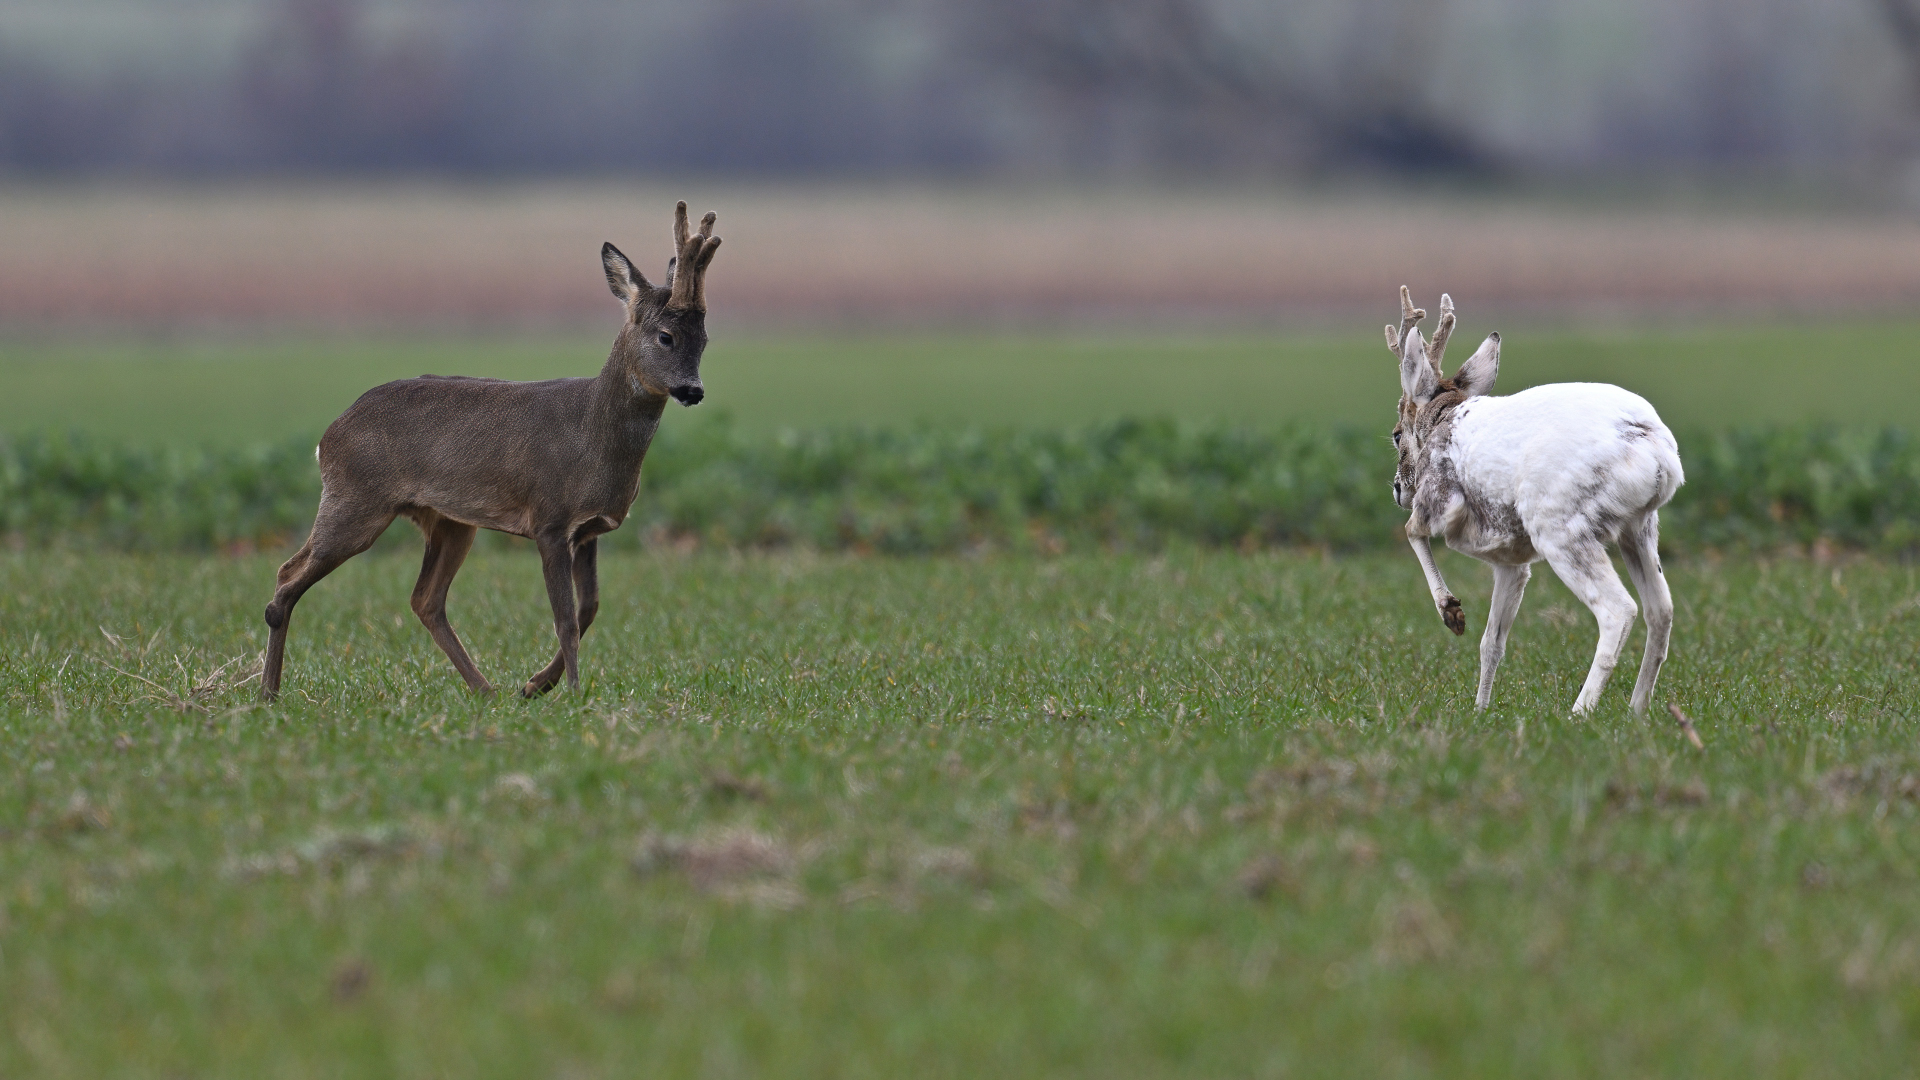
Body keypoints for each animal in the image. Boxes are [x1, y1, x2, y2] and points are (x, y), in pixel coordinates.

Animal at [263, 203, 721, 699]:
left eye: (704, 339)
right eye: (665, 336)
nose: (693, 390)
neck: (592, 438)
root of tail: (326, 438)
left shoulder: (589, 529)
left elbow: (589, 608)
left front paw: (535, 685)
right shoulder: (549, 518)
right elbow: (565, 619)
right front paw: (573, 693)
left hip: (448, 521)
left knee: (425, 599)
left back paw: (485, 690)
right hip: (355, 499)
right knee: (287, 576)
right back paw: (268, 692)